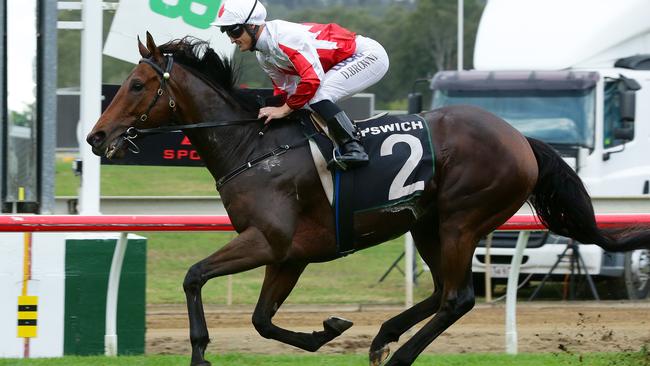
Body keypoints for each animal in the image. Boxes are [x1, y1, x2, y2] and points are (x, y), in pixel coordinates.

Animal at [87, 33, 648, 364]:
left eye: (136, 84)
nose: (96, 137)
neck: (252, 146)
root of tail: (520, 138)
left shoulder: (267, 240)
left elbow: (194, 276)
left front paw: (201, 352)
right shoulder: (289, 254)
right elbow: (262, 320)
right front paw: (328, 330)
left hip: (461, 219)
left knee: (458, 297)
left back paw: (398, 354)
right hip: (426, 223)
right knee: (442, 292)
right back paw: (382, 338)